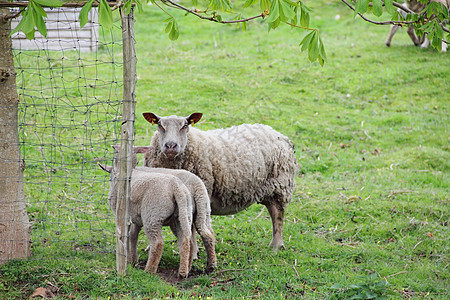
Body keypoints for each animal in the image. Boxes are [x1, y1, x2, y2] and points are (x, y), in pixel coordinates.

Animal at [99, 146, 194, 278]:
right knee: (185, 240)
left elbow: (125, 235)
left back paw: (149, 271)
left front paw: (127, 257)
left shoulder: (123, 215)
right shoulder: (136, 218)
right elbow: (133, 235)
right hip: (181, 216)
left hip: (152, 216)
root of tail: (176, 187)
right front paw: (132, 260)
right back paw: (183, 271)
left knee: (158, 243)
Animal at [141, 112, 298, 251]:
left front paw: (194, 251)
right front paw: (150, 247)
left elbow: (192, 228)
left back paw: (277, 246)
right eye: (160, 125)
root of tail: (281, 136)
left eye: (185, 125)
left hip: (280, 186)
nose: (170, 146)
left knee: (278, 216)